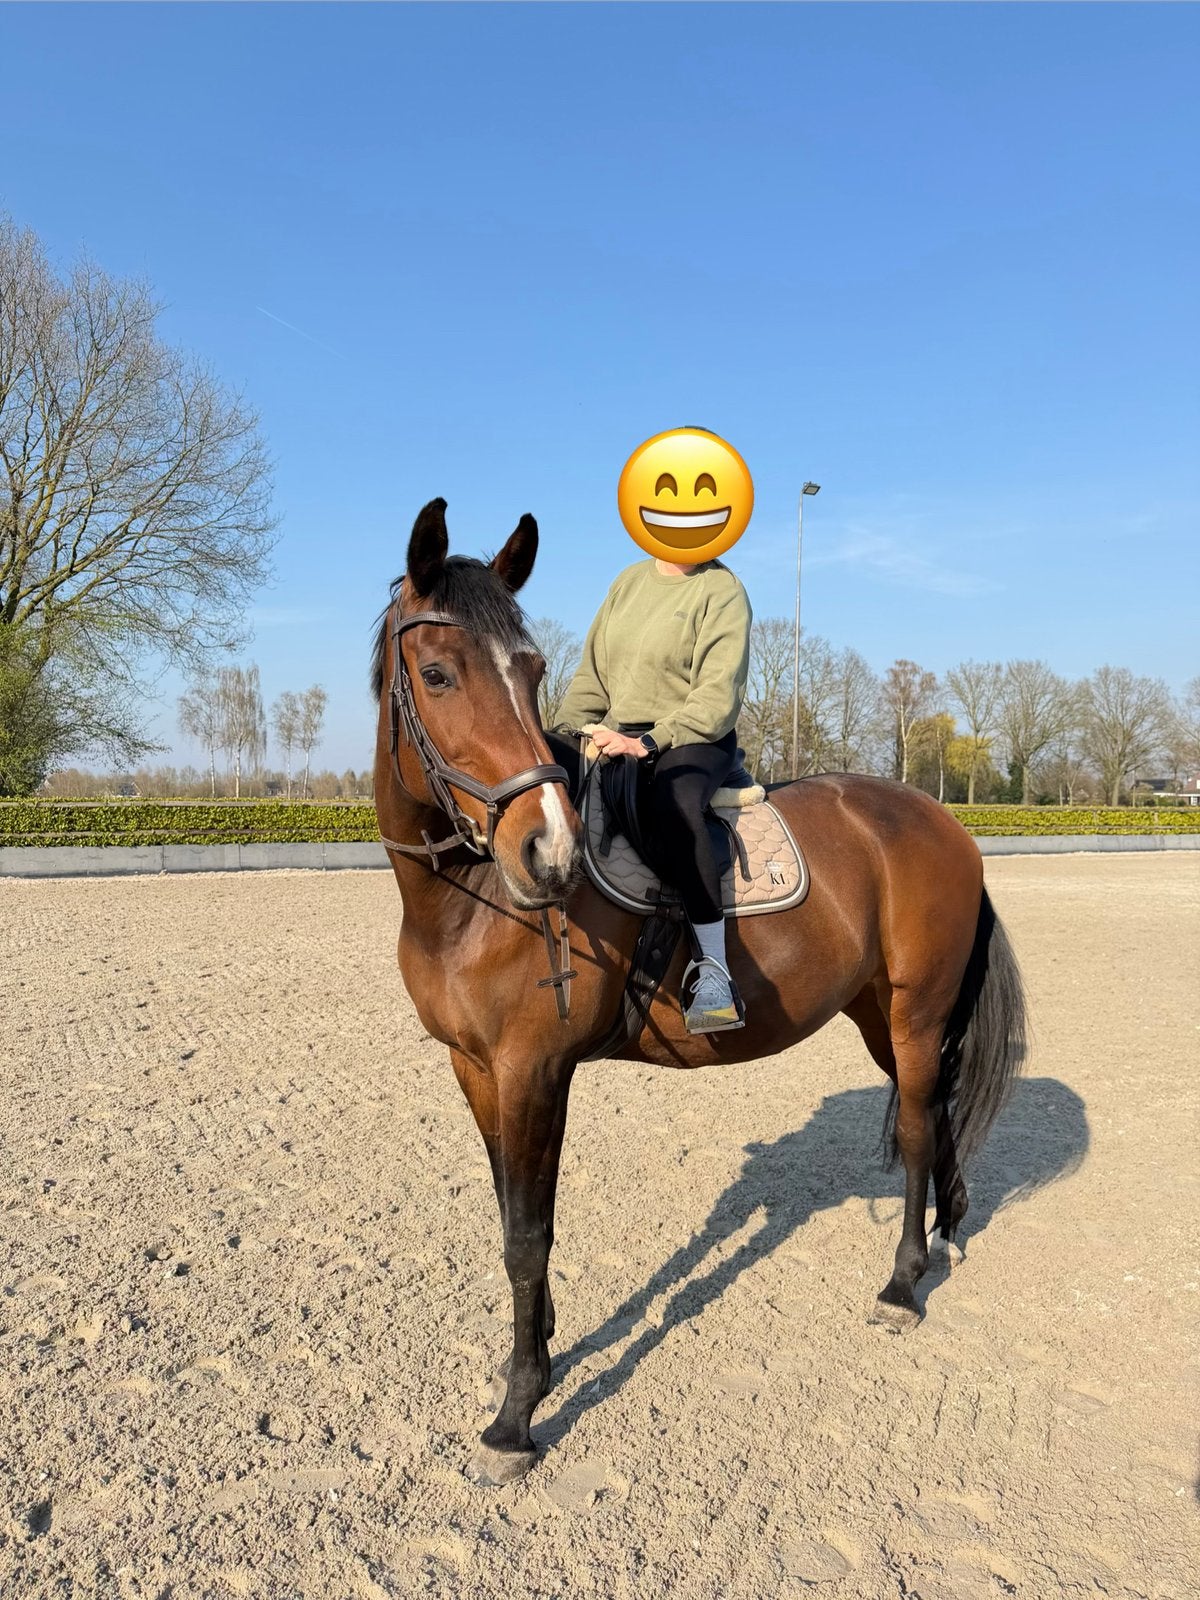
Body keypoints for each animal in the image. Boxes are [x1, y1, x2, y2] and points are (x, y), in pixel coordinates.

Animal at [372, 498, 1028, 1487]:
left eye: (530, 671)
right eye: (440, 673)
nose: (550, 855)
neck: (470, 900)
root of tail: (937, 819)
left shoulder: (534, 1071)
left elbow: (529, 1233)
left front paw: (516, 1414)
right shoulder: (475, 1069)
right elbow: (510, 1211)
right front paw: (540, 1350)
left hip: (916, 1012)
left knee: (916, 1128)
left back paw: (903, 1283)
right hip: (880, 1013)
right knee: (939, 1114)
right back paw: (949, 1231)